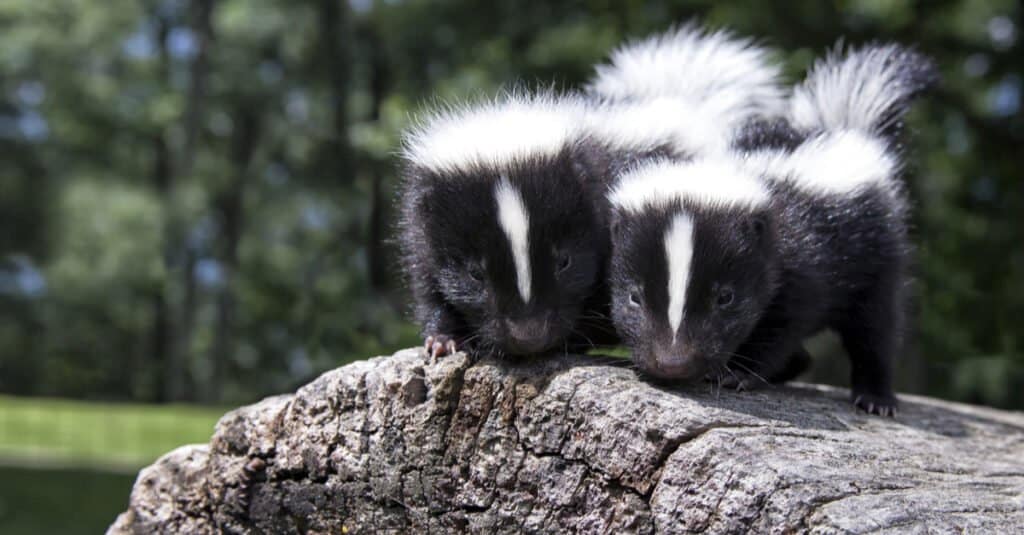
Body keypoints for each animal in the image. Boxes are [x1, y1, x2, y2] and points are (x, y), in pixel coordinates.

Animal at [606, 43, 937, 414]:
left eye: (726, 297)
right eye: (634, 297)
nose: (673, 362)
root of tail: (845, 127)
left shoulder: (802, 260)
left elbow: (783, 324)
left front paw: (737, 372)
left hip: (878, 253)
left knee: (876, 327)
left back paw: (875, 397)